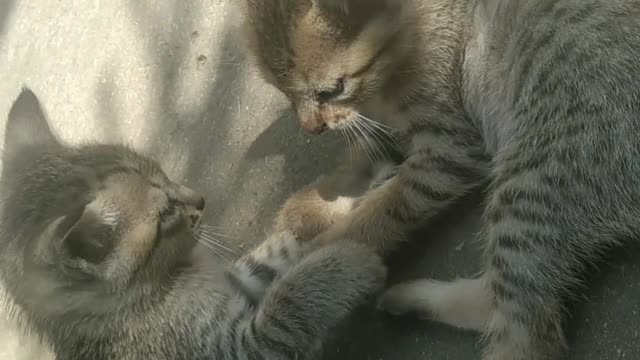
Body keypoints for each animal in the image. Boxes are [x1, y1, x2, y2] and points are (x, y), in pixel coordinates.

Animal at [0, 88, 384, 360]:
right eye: (166, 213)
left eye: (165, 173)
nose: (200, 199)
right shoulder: (238, 346)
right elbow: (288, 302)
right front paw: (351, 259)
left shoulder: (237, 279)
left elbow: (278, 251)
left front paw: (354, 197)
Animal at [241, 0, 640, 360]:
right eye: (284, 93)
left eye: (332, 89)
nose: (312, 128)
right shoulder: (383, 126)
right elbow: (362, 155)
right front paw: (314, 202)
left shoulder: (451, 148)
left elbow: (386, 207)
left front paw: (322, 249)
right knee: (494, 300)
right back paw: (412, 299)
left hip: (535, 178)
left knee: (526, 336)